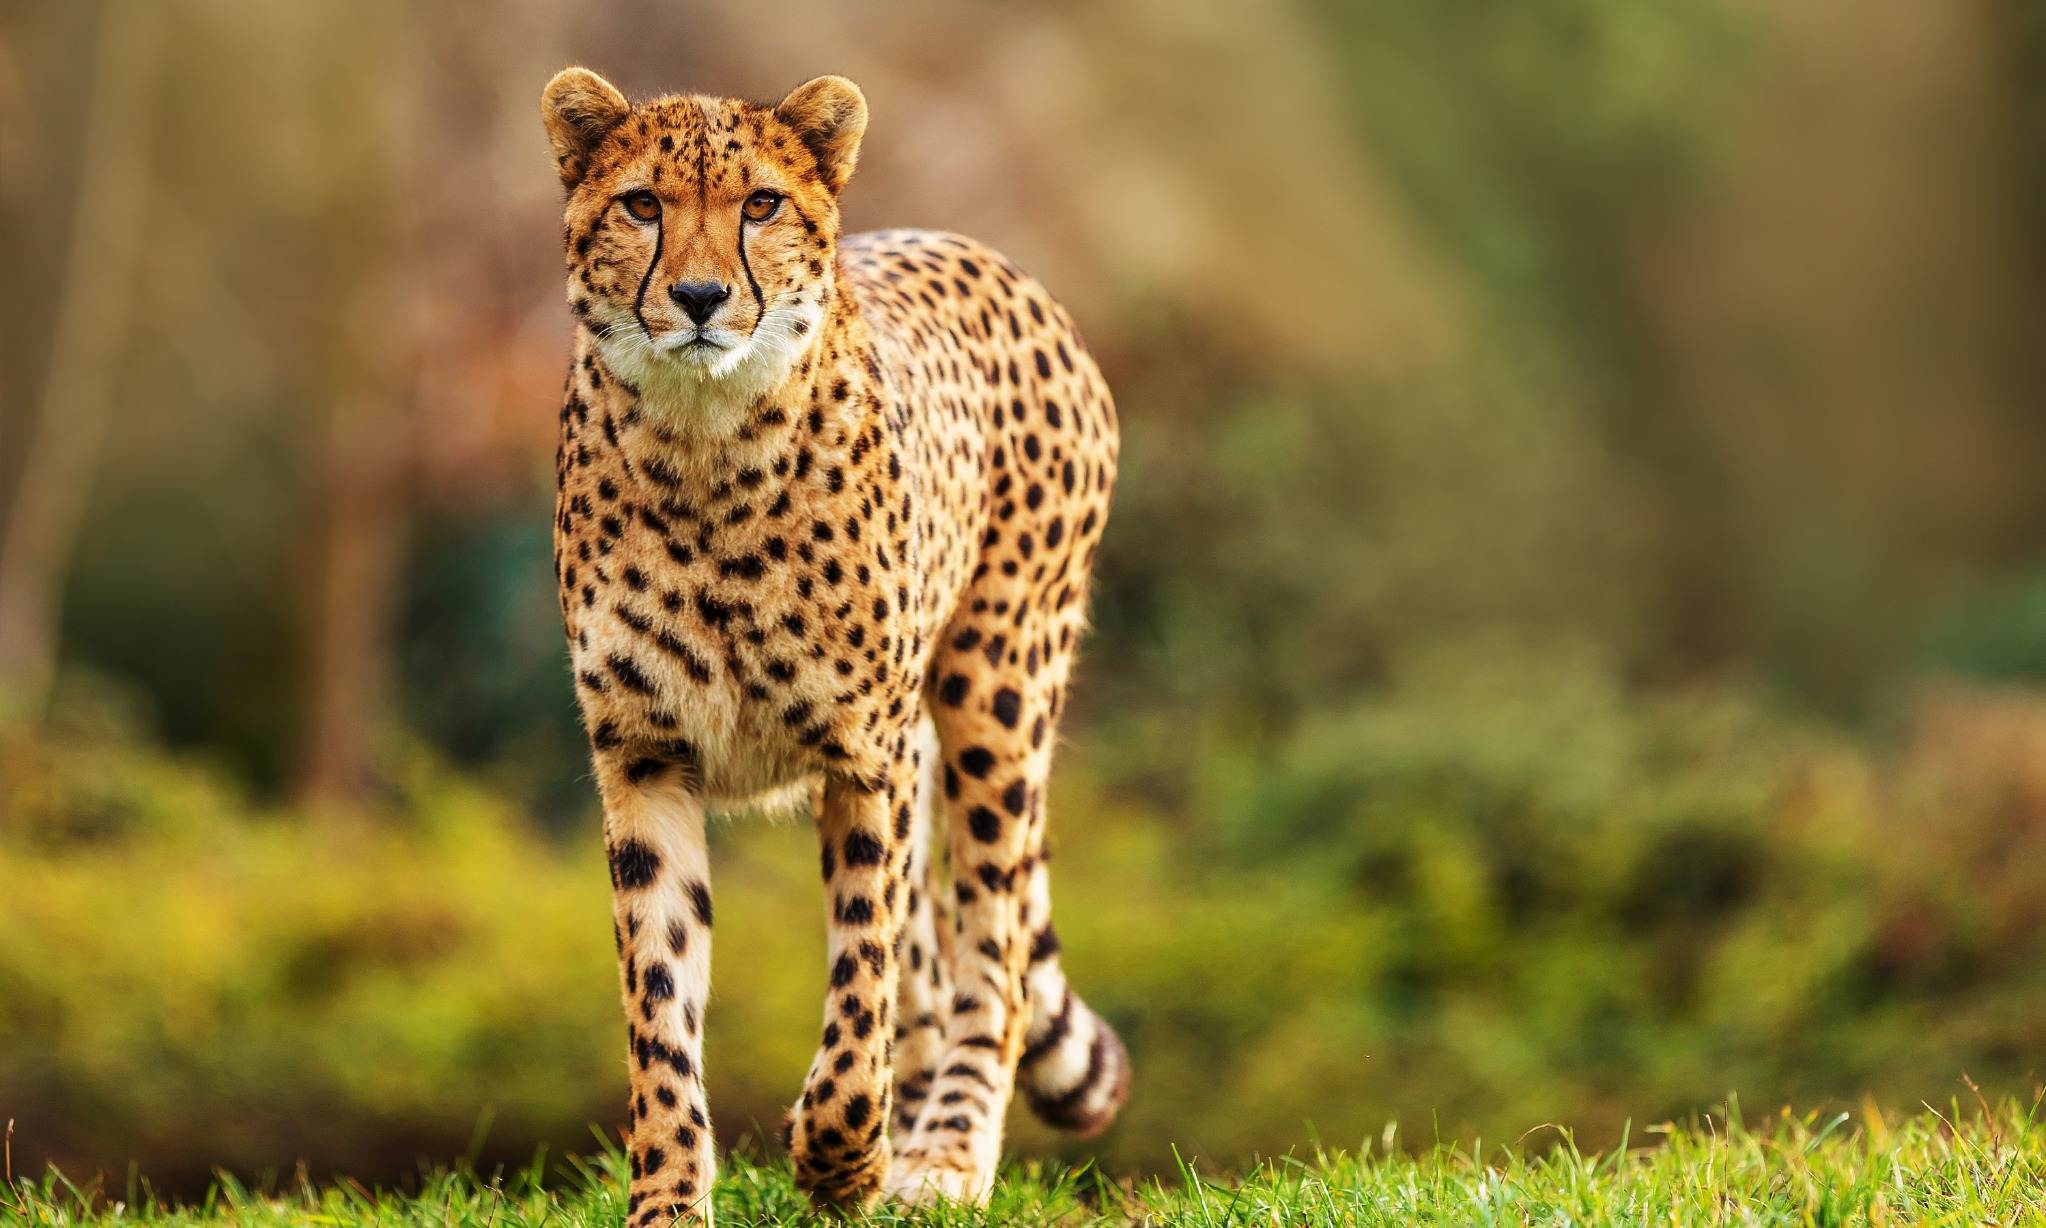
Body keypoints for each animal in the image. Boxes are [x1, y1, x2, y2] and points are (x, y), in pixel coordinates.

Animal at [539, 67, 1129, 1222]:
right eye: (643, 205)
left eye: (761, 205)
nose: (699, 298)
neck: (705, 445)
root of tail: (990, 258)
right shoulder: (644, 756)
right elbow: (660, 1000)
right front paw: (669, 1195)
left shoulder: (867, 754)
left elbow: (861, 984)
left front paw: (838, 1155)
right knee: (934, 961)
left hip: (996, 690)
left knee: (984, 949)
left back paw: (943, 1154)